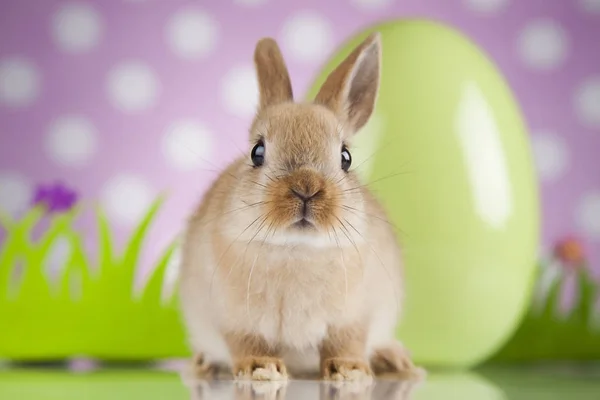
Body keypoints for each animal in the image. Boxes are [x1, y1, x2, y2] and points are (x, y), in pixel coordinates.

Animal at [178, 32, 422, 382]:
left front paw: (350, 371)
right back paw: (202, 364)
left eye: (346, 157)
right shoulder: (234, 320)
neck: (298, 249)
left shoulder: (354, 318)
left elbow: (346, 343)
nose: (306, 188)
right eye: (257, 152)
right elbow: (248, 344)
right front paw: (261, 368)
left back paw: (395, 362)